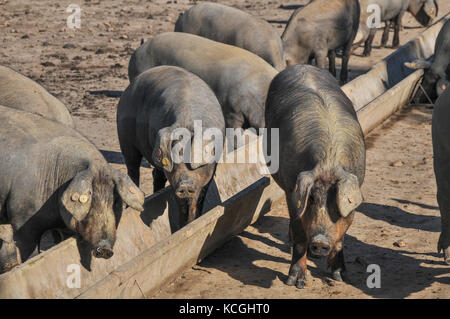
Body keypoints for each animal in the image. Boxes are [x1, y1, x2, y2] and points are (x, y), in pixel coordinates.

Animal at [117, 66, 224, 226]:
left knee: (157, 175)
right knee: (133, 170)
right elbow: (180, 202)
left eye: (193, 162)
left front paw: (193, 222)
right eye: (175, 161)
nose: (185, 185)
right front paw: (182, 226)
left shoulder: (209, 172)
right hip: (125, 137)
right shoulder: (175, 180)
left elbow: (197, 200)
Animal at [264, 64, 366, 288]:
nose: (320, 242)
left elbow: (342, 237)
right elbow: (300, 235)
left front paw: (341, 277)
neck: (328, 162)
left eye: (336, 202)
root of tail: (302, 65)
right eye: (310, 199)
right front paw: (295, 282)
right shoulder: (292, 191)